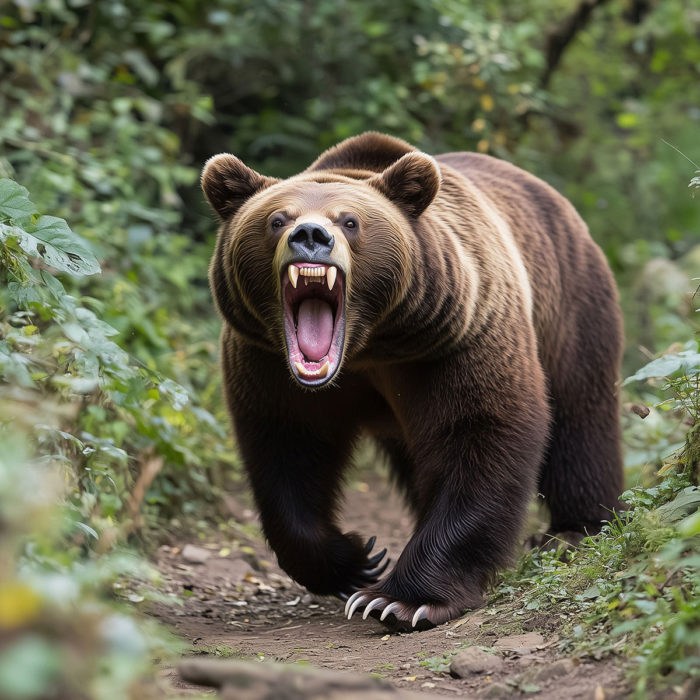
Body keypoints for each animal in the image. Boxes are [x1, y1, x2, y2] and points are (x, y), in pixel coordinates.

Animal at [202, 130, 624, 628]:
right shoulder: (269, 365)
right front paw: (355, 558)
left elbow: (481, 436)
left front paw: (400, 599)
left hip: (569, 301)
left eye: (350, 221)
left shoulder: (456, 341)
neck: (369, 346)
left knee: (581, 418)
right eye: (276, 219)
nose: (310, 236)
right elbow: (286, 451)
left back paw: (574, 530)